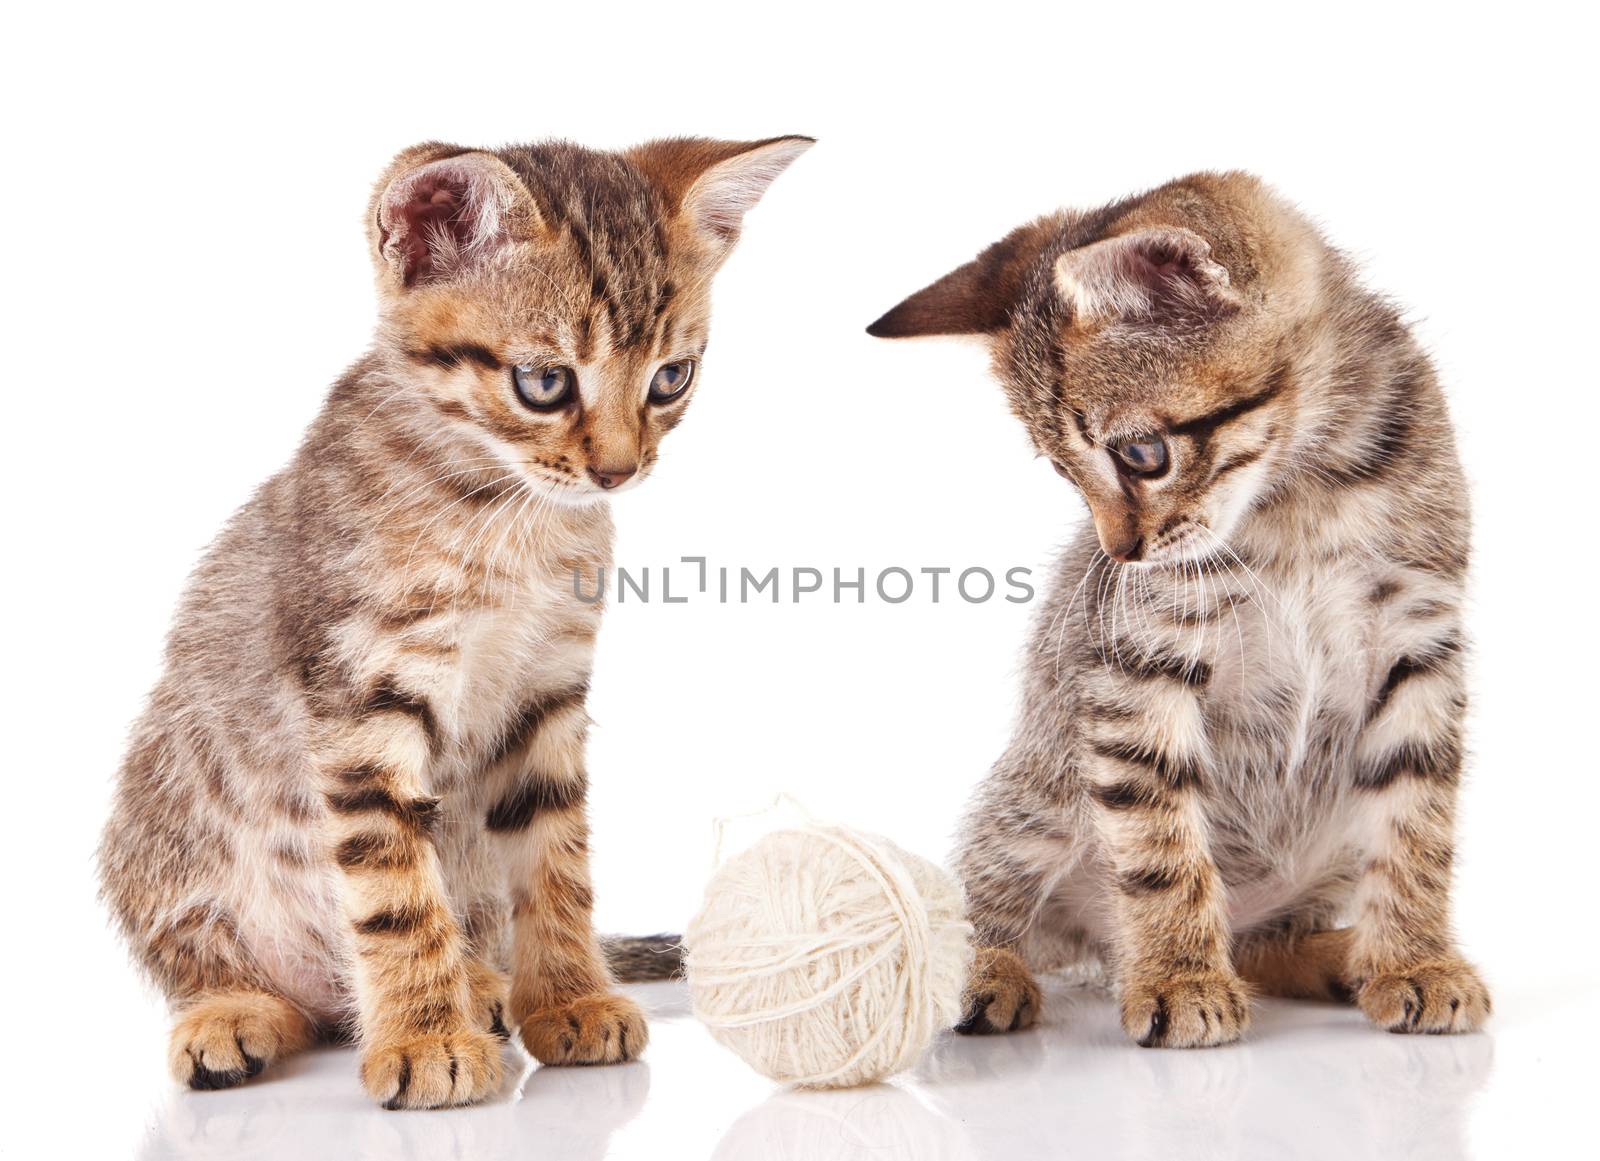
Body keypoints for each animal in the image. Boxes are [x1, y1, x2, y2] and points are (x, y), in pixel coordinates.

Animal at [96, 134, 812, 1106]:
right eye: (544, 382)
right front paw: (426, 1037)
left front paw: (568, 997)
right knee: (223, 961)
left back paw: (483, 983)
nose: (620, 471)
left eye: (671, 377)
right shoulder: (361, 698)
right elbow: (396, 891)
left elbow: (555, 859)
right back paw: (240, 1011)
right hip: (160, 818)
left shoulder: (546, 692)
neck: (506, 512)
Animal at [870, 175, 1491, 1055]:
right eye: (1062, 471)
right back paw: (991, 968)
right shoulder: (1139, 664)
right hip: (1037, 798)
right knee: (988, 892)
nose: (1121, 555)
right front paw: (1177, 977)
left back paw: (1339, 954)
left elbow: (1416, 826)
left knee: (1262, 940)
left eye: (1141, 455)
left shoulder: (1419, 640)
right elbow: (1159, 843)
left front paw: (1414, 957)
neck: (1302, 494)